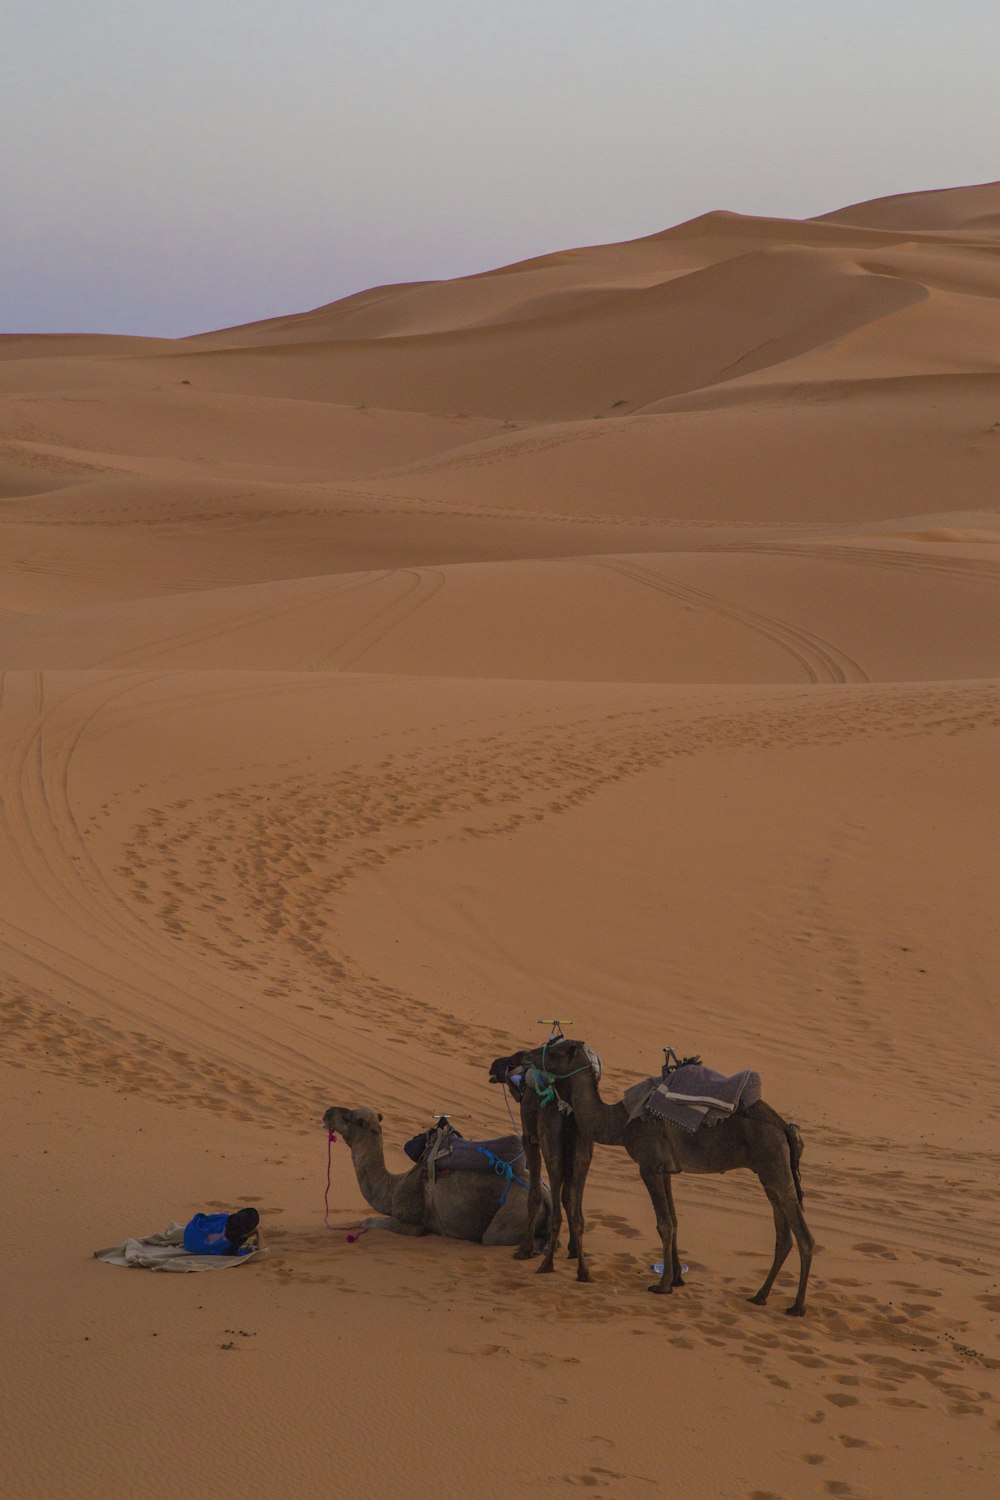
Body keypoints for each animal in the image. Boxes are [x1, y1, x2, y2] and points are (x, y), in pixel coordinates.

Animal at [322, 1104, 551, 1242]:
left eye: (349, 1117)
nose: (327, 1112)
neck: (393, 1187)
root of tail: (546, 1195)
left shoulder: (415, 1223)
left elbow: (368, 1221)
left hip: (512, 1214)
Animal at [521, 1038, 815, 1320]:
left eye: (555, 1052)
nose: (526, 1056)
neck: (620, 1121)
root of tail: (784, 1127)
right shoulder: (666, 1171)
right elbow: (673, 1221)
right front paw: (676, 1280)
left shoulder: (649, 1166)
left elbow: (663, 1224)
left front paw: (661, 1285)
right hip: (768, 1173)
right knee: (783, 1236)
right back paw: (760, 1296)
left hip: (774, 1164)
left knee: (804, 1236)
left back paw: (797, 1306)